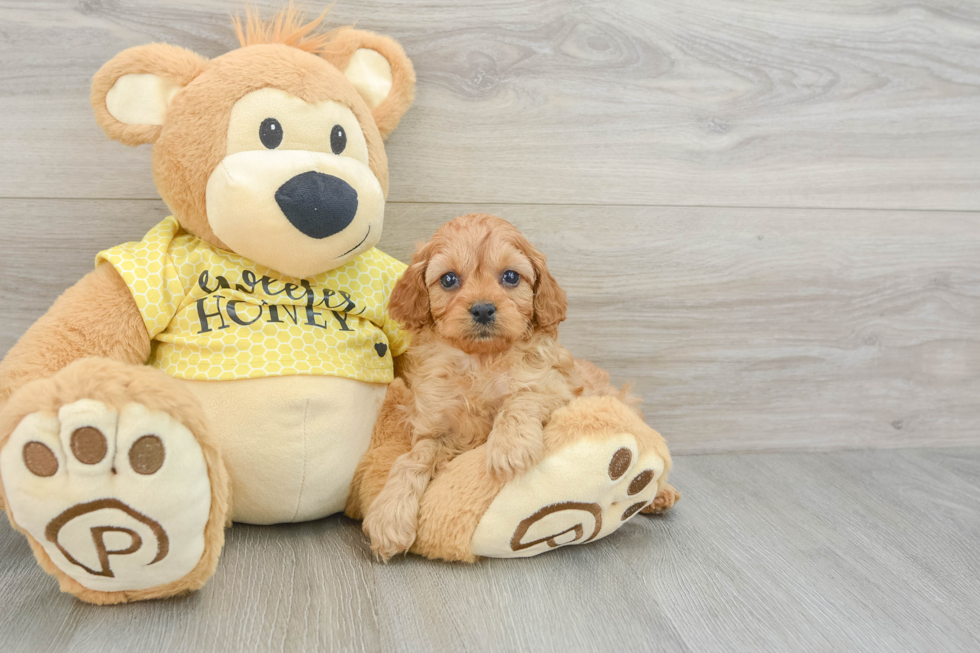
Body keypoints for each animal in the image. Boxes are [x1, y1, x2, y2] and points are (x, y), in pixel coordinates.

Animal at [364, 214, 632, 560]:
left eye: (510, 276)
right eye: (448, 279)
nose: (482, 309)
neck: (481, 360)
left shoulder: (559, 388)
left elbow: (520, 399)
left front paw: (509, 448)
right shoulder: (434, 426)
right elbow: (411, 460)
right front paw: (389, 516)